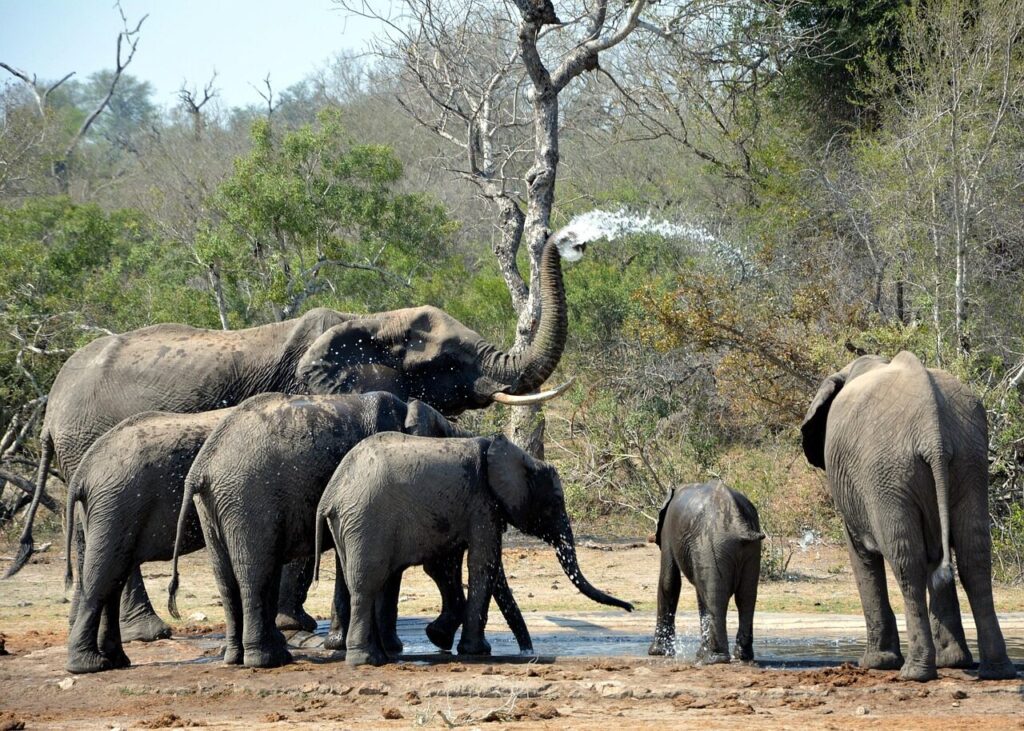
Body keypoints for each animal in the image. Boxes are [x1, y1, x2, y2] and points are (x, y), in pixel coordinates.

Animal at [62, 408, 233, 673]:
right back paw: (89, 665)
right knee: (103, 576)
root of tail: (83, 471)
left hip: (110, 507)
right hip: (116, 504)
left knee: (114, 576)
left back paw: (115, 661)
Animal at [166, 391, 533, 668]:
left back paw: (239, 657)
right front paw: (389, 648)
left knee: (228, 579)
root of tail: (201, 468)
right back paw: (267, 660)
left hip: (216, 504)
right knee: (256, 572)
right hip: (248, 496)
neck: (410, 409)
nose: (527, 652)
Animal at [313, 432, 635, 666]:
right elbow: (484, 562)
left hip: (349, 524)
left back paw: (379, 657)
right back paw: (365, 661)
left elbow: (447, 566)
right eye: (555, 501)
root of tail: (330, 494)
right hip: (366, 519)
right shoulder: (483, 502)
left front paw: (440, 638)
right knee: (367, 585)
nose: (630, 607)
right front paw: (476, 651)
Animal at [646, 480, 763, 663]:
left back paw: (713, 659)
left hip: (711, 544)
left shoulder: (668, 532)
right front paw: (699, 653)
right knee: (745, 597)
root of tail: (738, 523)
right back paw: (741, 657)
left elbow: (669, 581)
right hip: (749, 549)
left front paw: (657, 652)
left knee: (715, 597)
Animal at [801, 351, 1017, 681]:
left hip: (887, 472)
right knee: (975, 557)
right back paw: (994, 669)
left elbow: (863, 556)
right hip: (969, 460)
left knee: (907, 562)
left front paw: (875, 664)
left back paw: (914, 673)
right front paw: (954, 661)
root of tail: (932, 432)